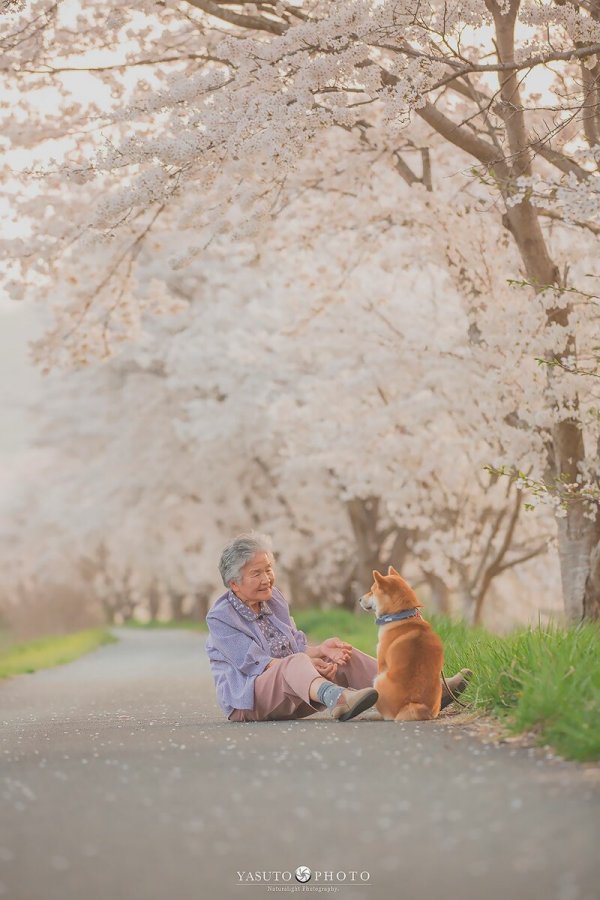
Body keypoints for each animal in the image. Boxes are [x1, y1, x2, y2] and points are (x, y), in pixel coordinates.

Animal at [358, 568, 442, 720]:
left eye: (372, 591)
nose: (359, 599)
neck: (401, 616)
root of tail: (413, 704)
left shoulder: (381, 663)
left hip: (377, 680)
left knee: (387, 716)